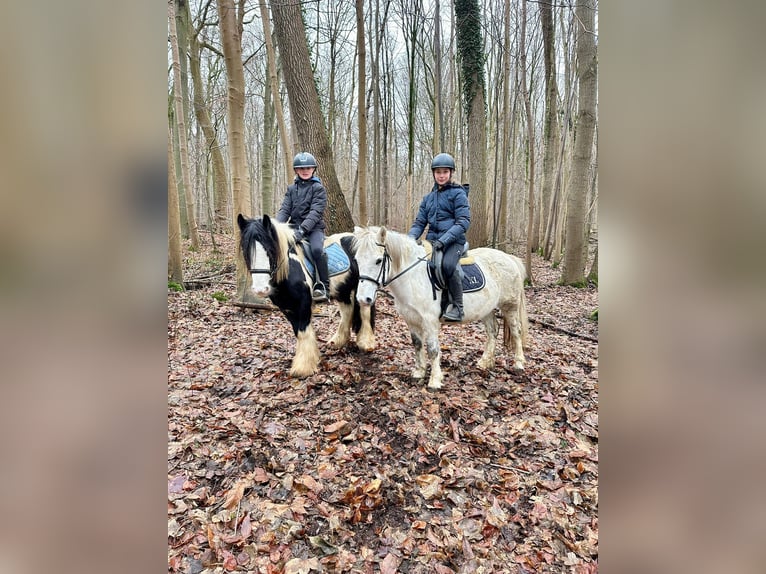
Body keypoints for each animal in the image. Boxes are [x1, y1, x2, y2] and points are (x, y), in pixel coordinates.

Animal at [352, 226, 528, 392]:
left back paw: (519, 363)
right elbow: (417, 344)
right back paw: (484, 362)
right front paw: (419, 372)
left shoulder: (429, 321)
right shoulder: (411, 319)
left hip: (510, 306)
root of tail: (509, 258)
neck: (413, 276)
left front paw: (434, 381)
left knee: (516, 331)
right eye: (357, 260)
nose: (363, 299)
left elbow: (432, 349)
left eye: (378, 260)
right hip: (487, 309)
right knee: (493, 331)